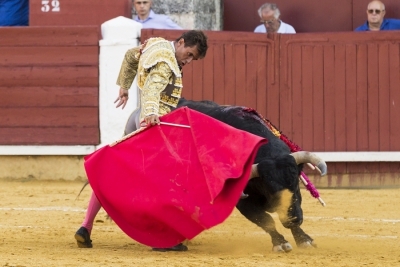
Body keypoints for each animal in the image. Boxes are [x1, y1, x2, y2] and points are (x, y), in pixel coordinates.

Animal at [177, 99, 326, 254]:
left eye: (296, 185)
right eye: (270, 190)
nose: (294, 219)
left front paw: (304, 240)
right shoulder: (243, 203)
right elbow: (266, 220)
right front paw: (280, 243)